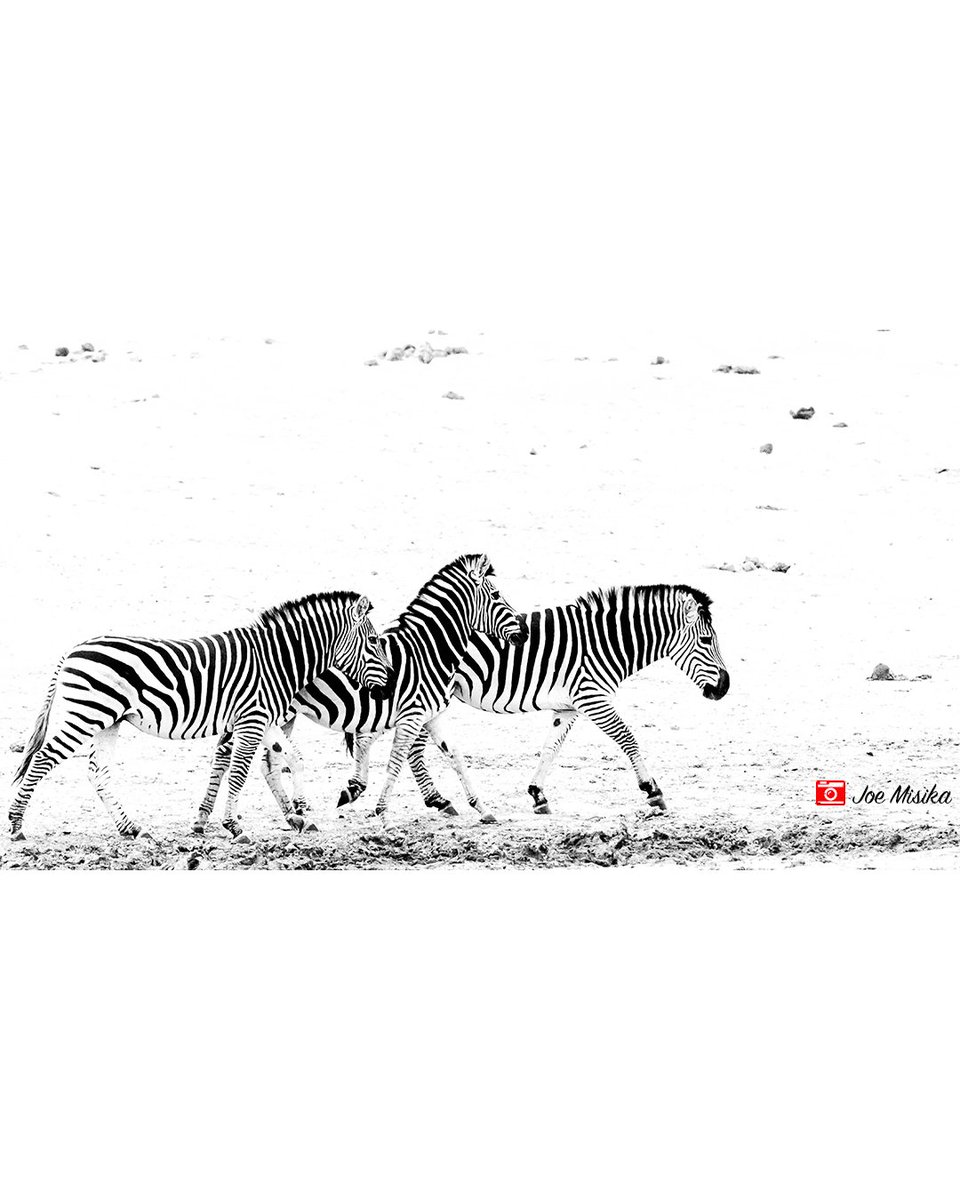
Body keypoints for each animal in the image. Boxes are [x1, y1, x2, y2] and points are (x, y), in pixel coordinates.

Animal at [10, 592, 391, 843]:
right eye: (373, 641)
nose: (388, 688)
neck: (276, 660)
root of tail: (73, 650)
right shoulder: (252, 720)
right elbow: (239, 773)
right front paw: (235, 826)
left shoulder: (263, 718)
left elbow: (293, 758)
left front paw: (300, 811)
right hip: (87, 713)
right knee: (43, 759)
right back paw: (15, 825)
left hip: (109, 719)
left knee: (96, 770)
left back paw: (131, 828)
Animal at [257, 553, 528, 824]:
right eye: (496, 595)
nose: (524, 632)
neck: (428, 653)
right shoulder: (411, 717)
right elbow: (396, 762)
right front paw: (382, 810)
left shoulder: (432, 716)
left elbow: (455, 756)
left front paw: (482, 808)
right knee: (269, 761)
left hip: (283, 717)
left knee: (269, 764)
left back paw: (292, 815)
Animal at [399, 583, 730, 816]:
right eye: (706, 640)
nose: (724, 687)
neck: (606, 642)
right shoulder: (591, 697)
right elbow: (627, 737)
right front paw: (652, 790)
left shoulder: (568, 707)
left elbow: (551, 747)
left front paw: (537, 795)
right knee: (413, 746)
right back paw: (438, 800)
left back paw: (438, 799)